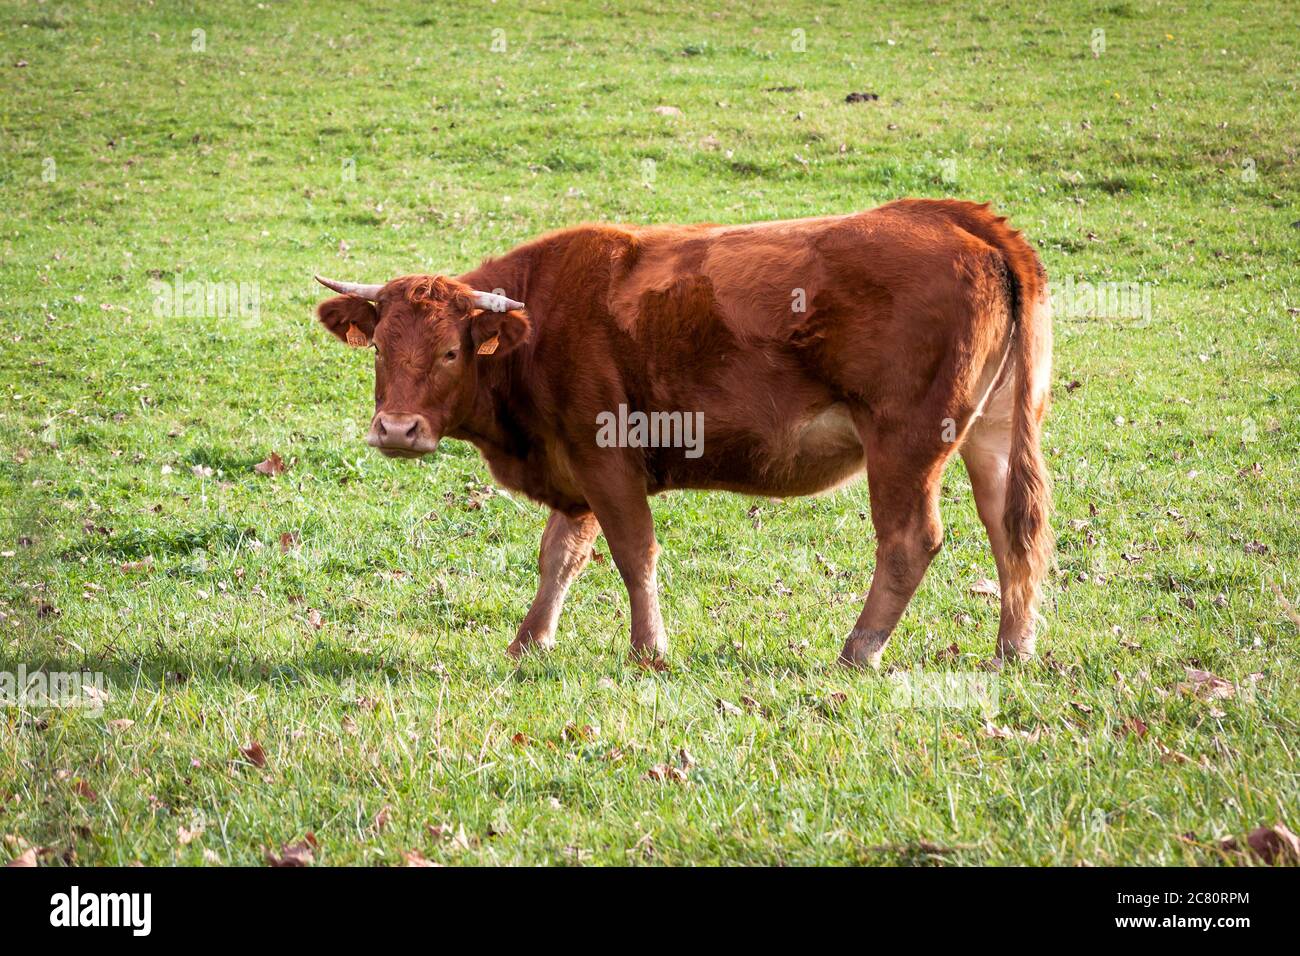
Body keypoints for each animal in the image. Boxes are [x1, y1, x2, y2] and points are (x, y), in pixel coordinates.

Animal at [314, 199, 1055, 671]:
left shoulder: (605, 456)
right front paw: (529, 642)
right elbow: (560, 557)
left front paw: (649, 649)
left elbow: (633, 553)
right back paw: (1011, 651)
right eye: (380, 346)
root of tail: (956, 216)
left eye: (450, 352)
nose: (398, 430)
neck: (544, 320)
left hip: (905, 442)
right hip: (990, 433)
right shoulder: (574, 469)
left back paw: (859, 649)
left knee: (911, 541)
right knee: (1011, 528)